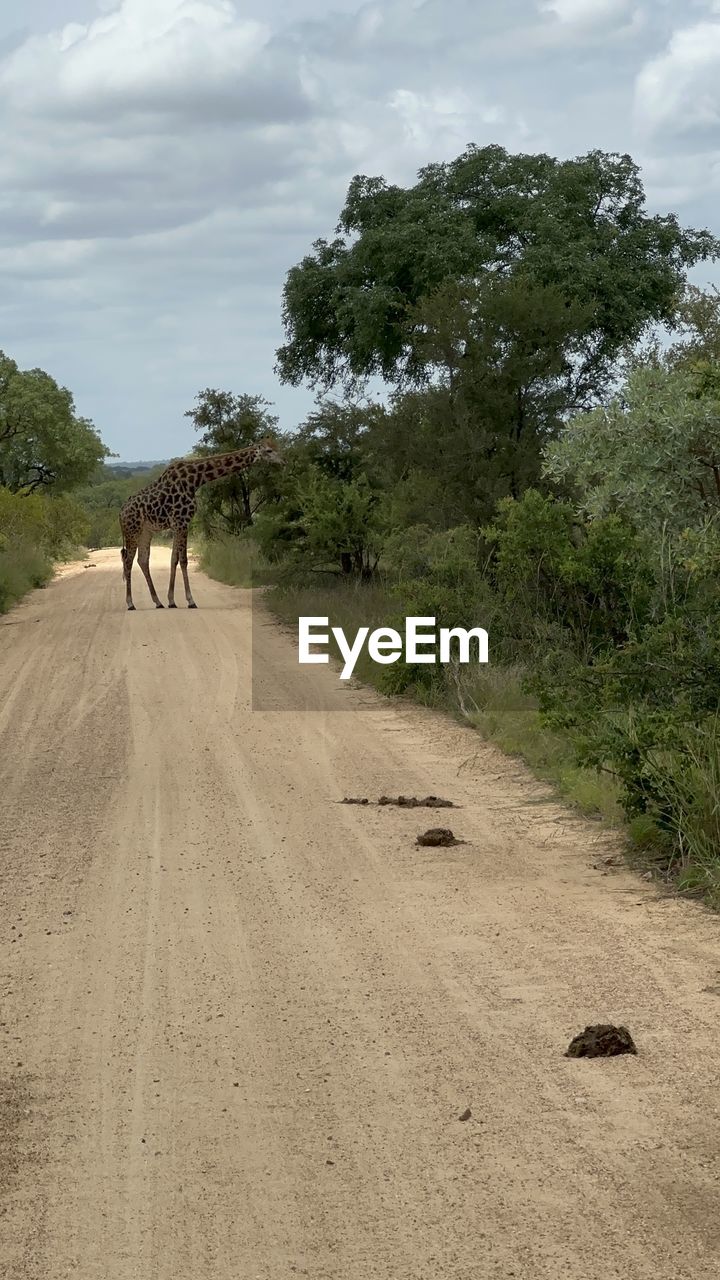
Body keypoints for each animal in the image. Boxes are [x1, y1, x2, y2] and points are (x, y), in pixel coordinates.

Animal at [118, 440, 283, 609]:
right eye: (269, 451)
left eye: (277, 447)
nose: (283, 461)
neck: (195, 480)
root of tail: (121, 512)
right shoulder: (182, 521)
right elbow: (183, 560)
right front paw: (191, 600)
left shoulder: (178, 524)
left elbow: (173, 560)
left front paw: (171, 601)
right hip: (133, 530)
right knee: (128, 561)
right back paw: (130, 603)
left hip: (146, 531)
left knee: (142, 560)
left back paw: (158, 602)